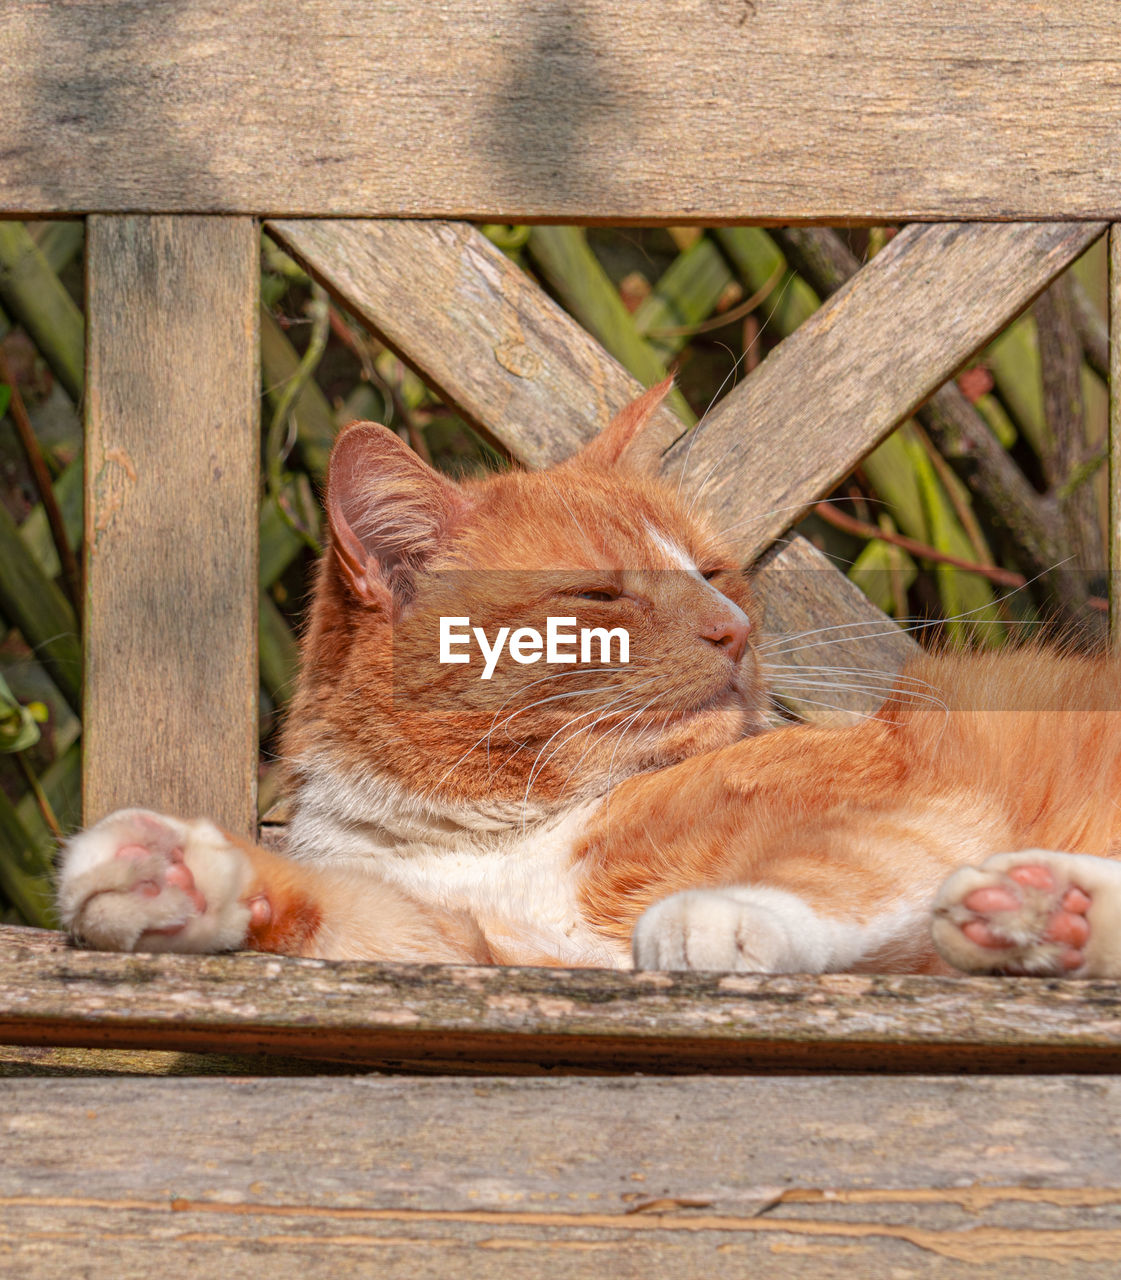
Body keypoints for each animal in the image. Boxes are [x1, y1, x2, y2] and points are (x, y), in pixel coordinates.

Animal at [56, 378, 1121, 977]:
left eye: (712, 569)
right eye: (599, 593)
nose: (734, 629)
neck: (495, 834)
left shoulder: (910, 793)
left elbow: (823, 865)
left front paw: (712, 917)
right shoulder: (481, 953)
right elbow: (356, 918)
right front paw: (179, 878)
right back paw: (1042, 913)